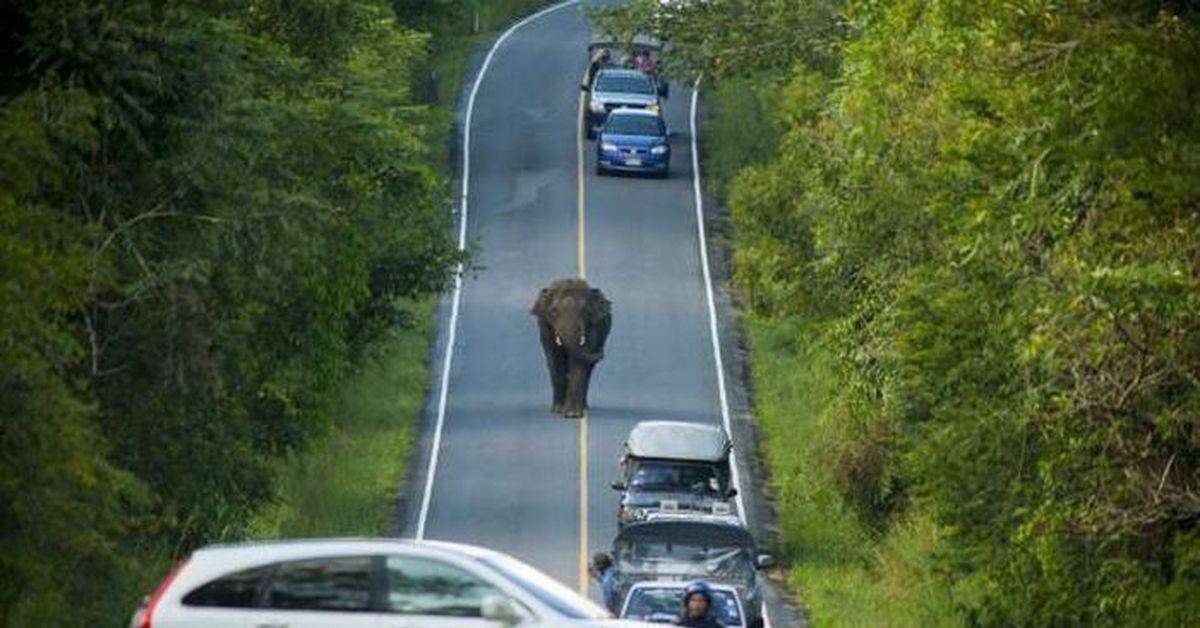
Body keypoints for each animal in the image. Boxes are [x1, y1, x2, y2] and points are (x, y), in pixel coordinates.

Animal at [532, 278, 614, 417]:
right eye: (553, 312)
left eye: (585, 311)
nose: (601, 352)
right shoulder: (545, 327)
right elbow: (554, 359)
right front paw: (558, 410)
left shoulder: (595, 327)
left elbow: (579, 363)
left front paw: (572, 414)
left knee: (588, 370)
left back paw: (584, 408)